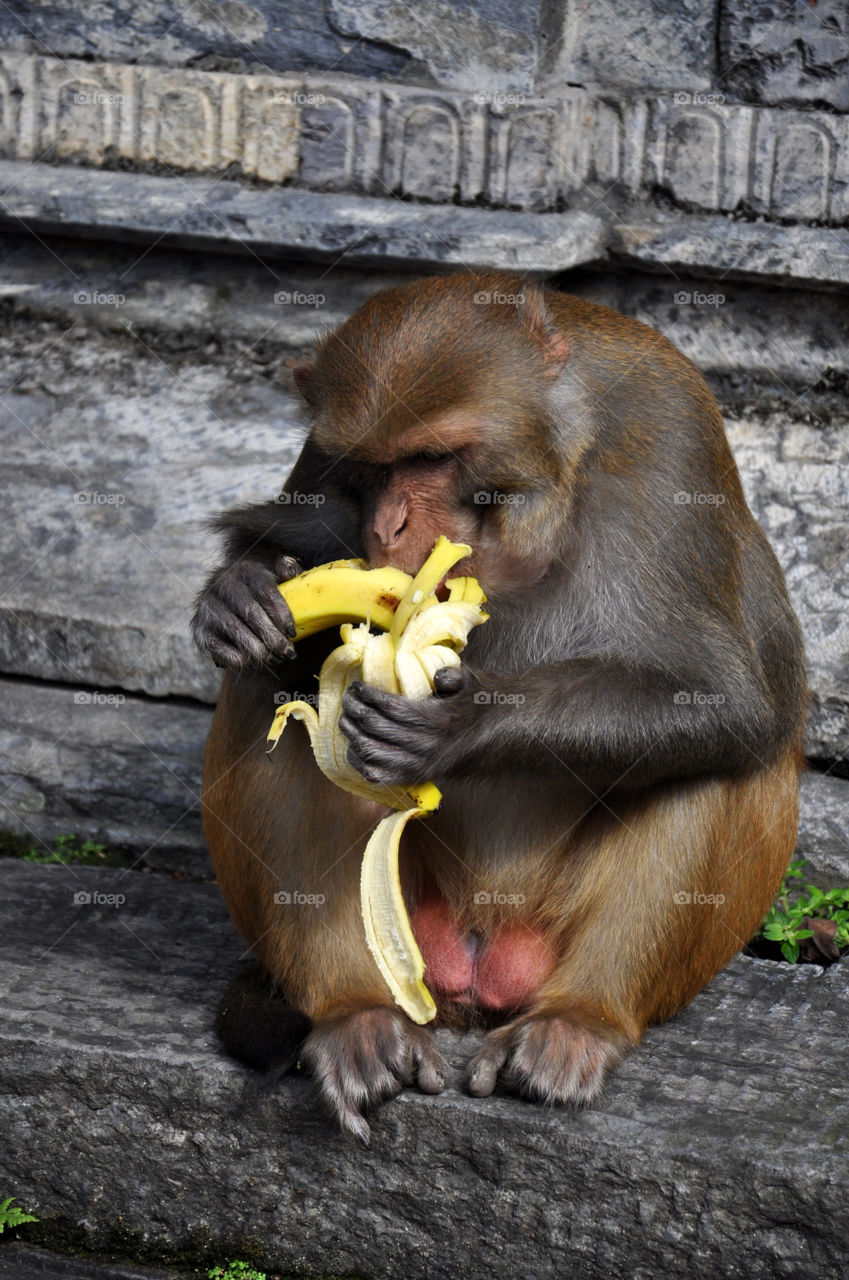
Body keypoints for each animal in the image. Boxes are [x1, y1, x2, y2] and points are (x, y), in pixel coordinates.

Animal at [194, 270, 809, 1141]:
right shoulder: (324, 451)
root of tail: (479, 964)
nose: (390, 525)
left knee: (712, 759)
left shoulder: (671, 430)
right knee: (264, 690)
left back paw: (579, 1020)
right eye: (369, 466)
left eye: (433, 457)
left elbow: (720, 696)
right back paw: (353, 1016)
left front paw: (456, 726)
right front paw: (237, 594)